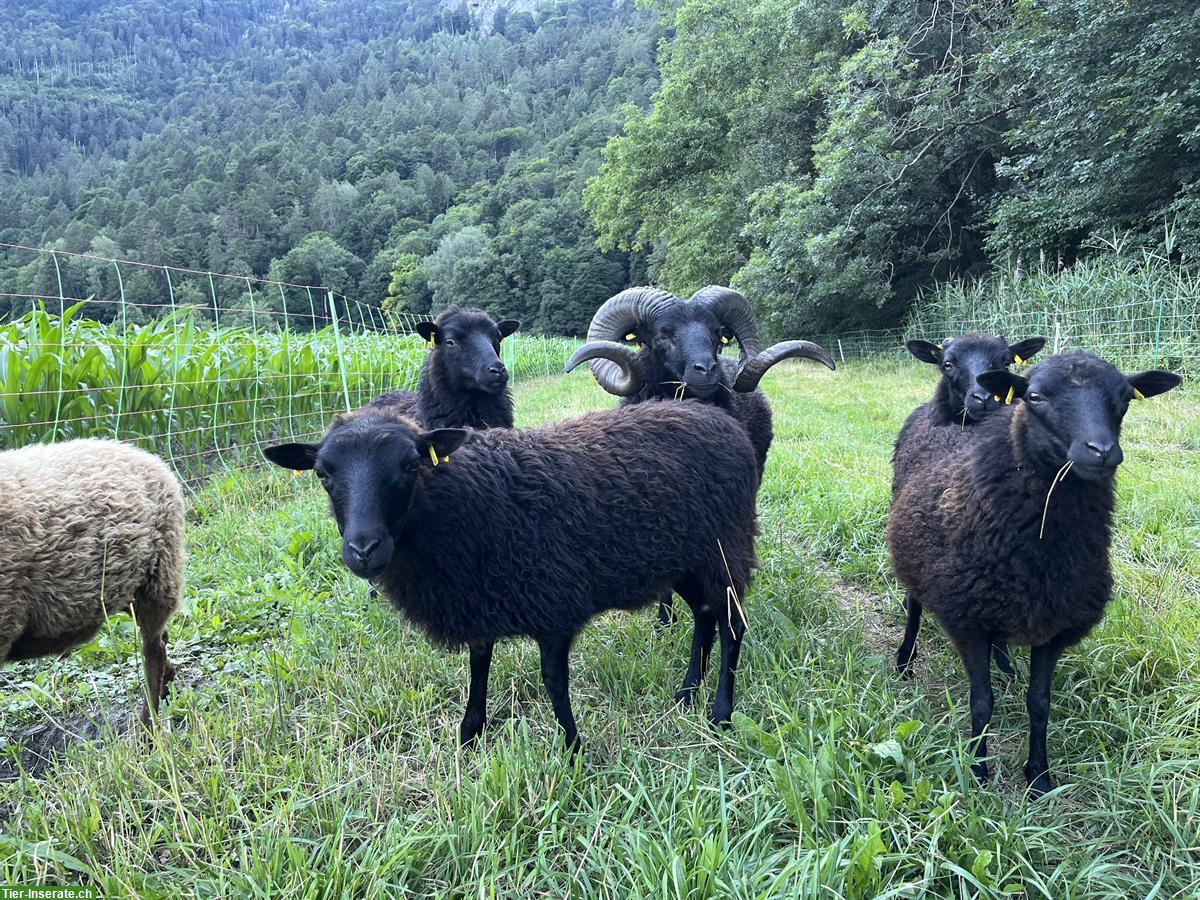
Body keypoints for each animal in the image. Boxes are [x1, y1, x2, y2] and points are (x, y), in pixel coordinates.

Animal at [268, 400, 763, 748]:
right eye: (322, 473)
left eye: (410, 465)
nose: (363, 550)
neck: (465, 506)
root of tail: (723, 420)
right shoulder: (478, 597)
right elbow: (478, 667)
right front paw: (469, 734)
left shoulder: (554, 603)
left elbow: (554, 684)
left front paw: (573, 749)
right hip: (685, 557)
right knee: (704, 617)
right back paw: (687, 692)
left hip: (725, 547)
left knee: (731, 624)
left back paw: (721, 712)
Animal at [892, 331, 1041, 676]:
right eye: (947, 363)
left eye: (1004, 362)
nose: (985, 398)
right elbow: (915, 607)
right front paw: (905, 658)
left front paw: (1005, 665)